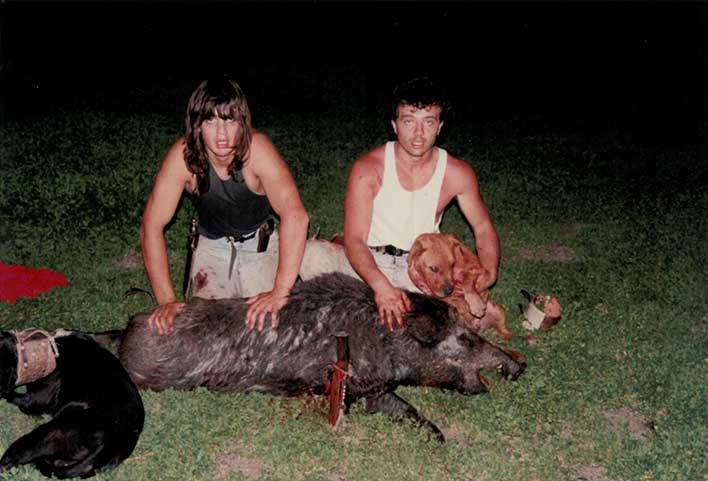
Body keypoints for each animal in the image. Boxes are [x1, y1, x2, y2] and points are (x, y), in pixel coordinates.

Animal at [117, 273, 525, 441]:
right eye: (466, 337)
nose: (520, 364)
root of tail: (125, 330)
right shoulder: (362, 387)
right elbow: (401, 407)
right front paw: (439, 438)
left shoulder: (375, 389)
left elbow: (405, 408)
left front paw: (438, 437)